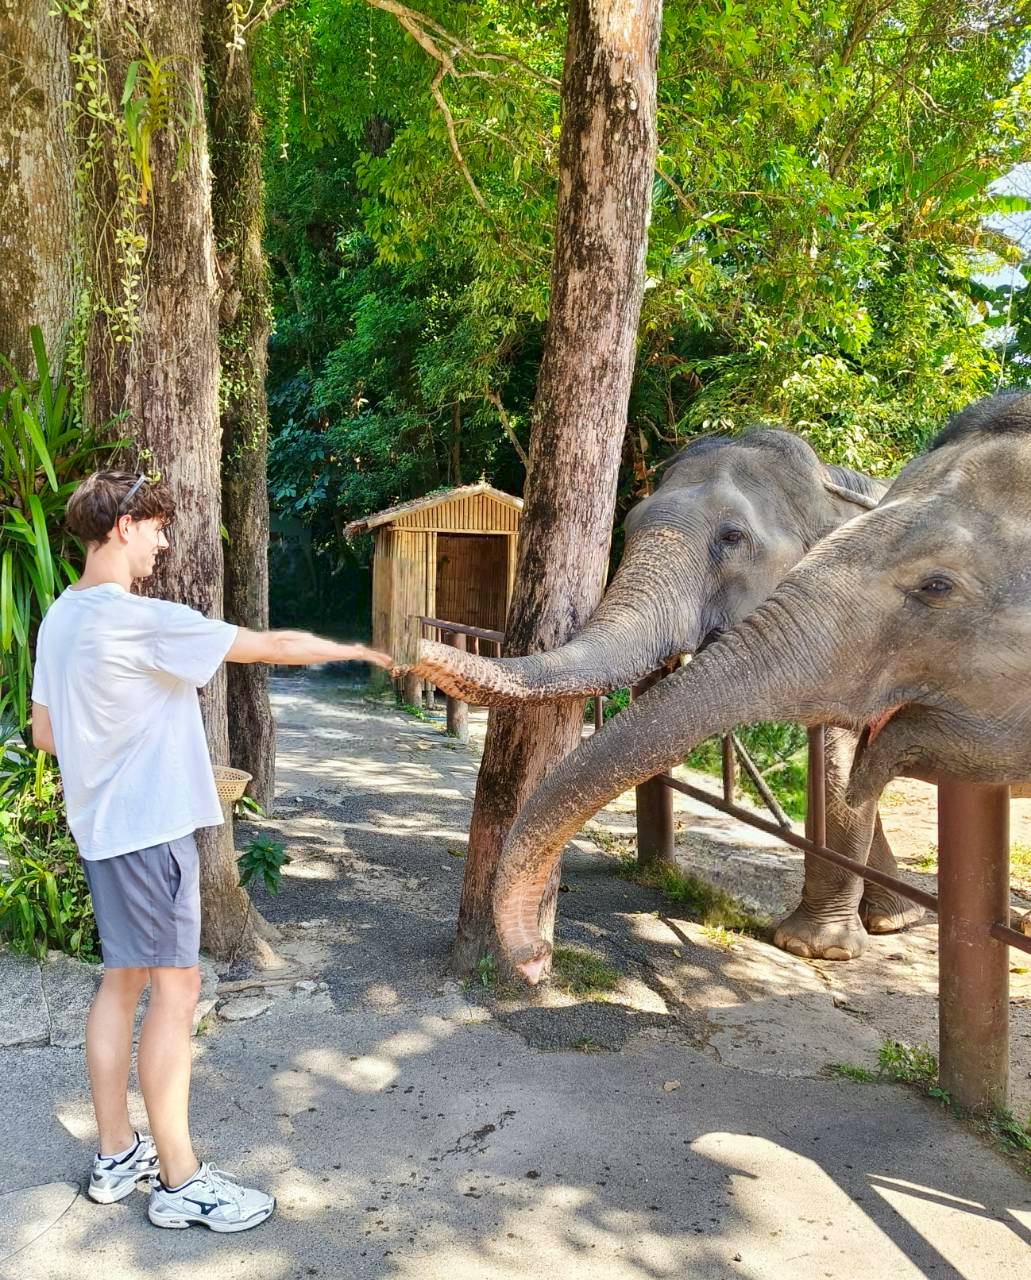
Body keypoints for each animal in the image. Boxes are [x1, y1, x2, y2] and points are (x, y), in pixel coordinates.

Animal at [484, 391, 1031, 983]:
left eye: (732, 537)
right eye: (627, 525)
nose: (536, 960)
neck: (828, 481)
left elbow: (840, 763)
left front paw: (815, 950)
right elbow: (849, 765)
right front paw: (883, 923)